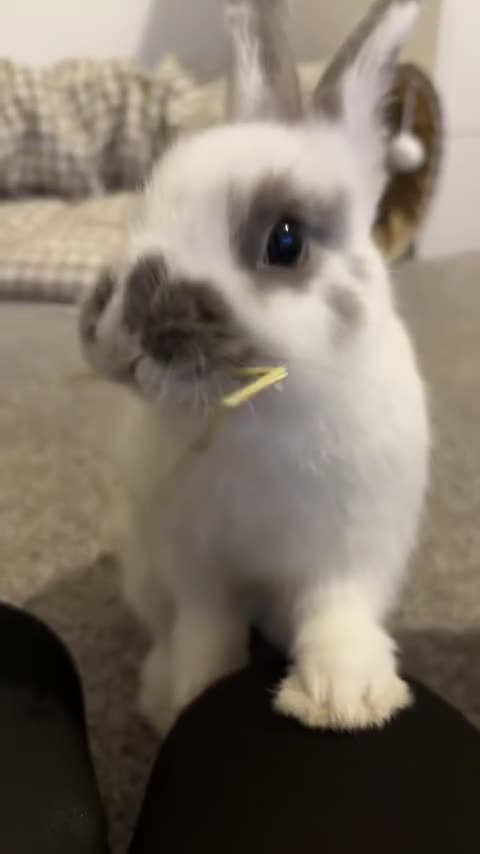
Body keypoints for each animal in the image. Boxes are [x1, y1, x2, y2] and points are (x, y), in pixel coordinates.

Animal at [79, 0, 429, 734]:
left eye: (285, 240)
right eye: (143, 206)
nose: (121, 336)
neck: (263, 413)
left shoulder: (348, 554)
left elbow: (336, 616)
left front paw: (344, 702)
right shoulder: (198, 568)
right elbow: (206, 633)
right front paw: (192, 696)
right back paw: (156, 688)